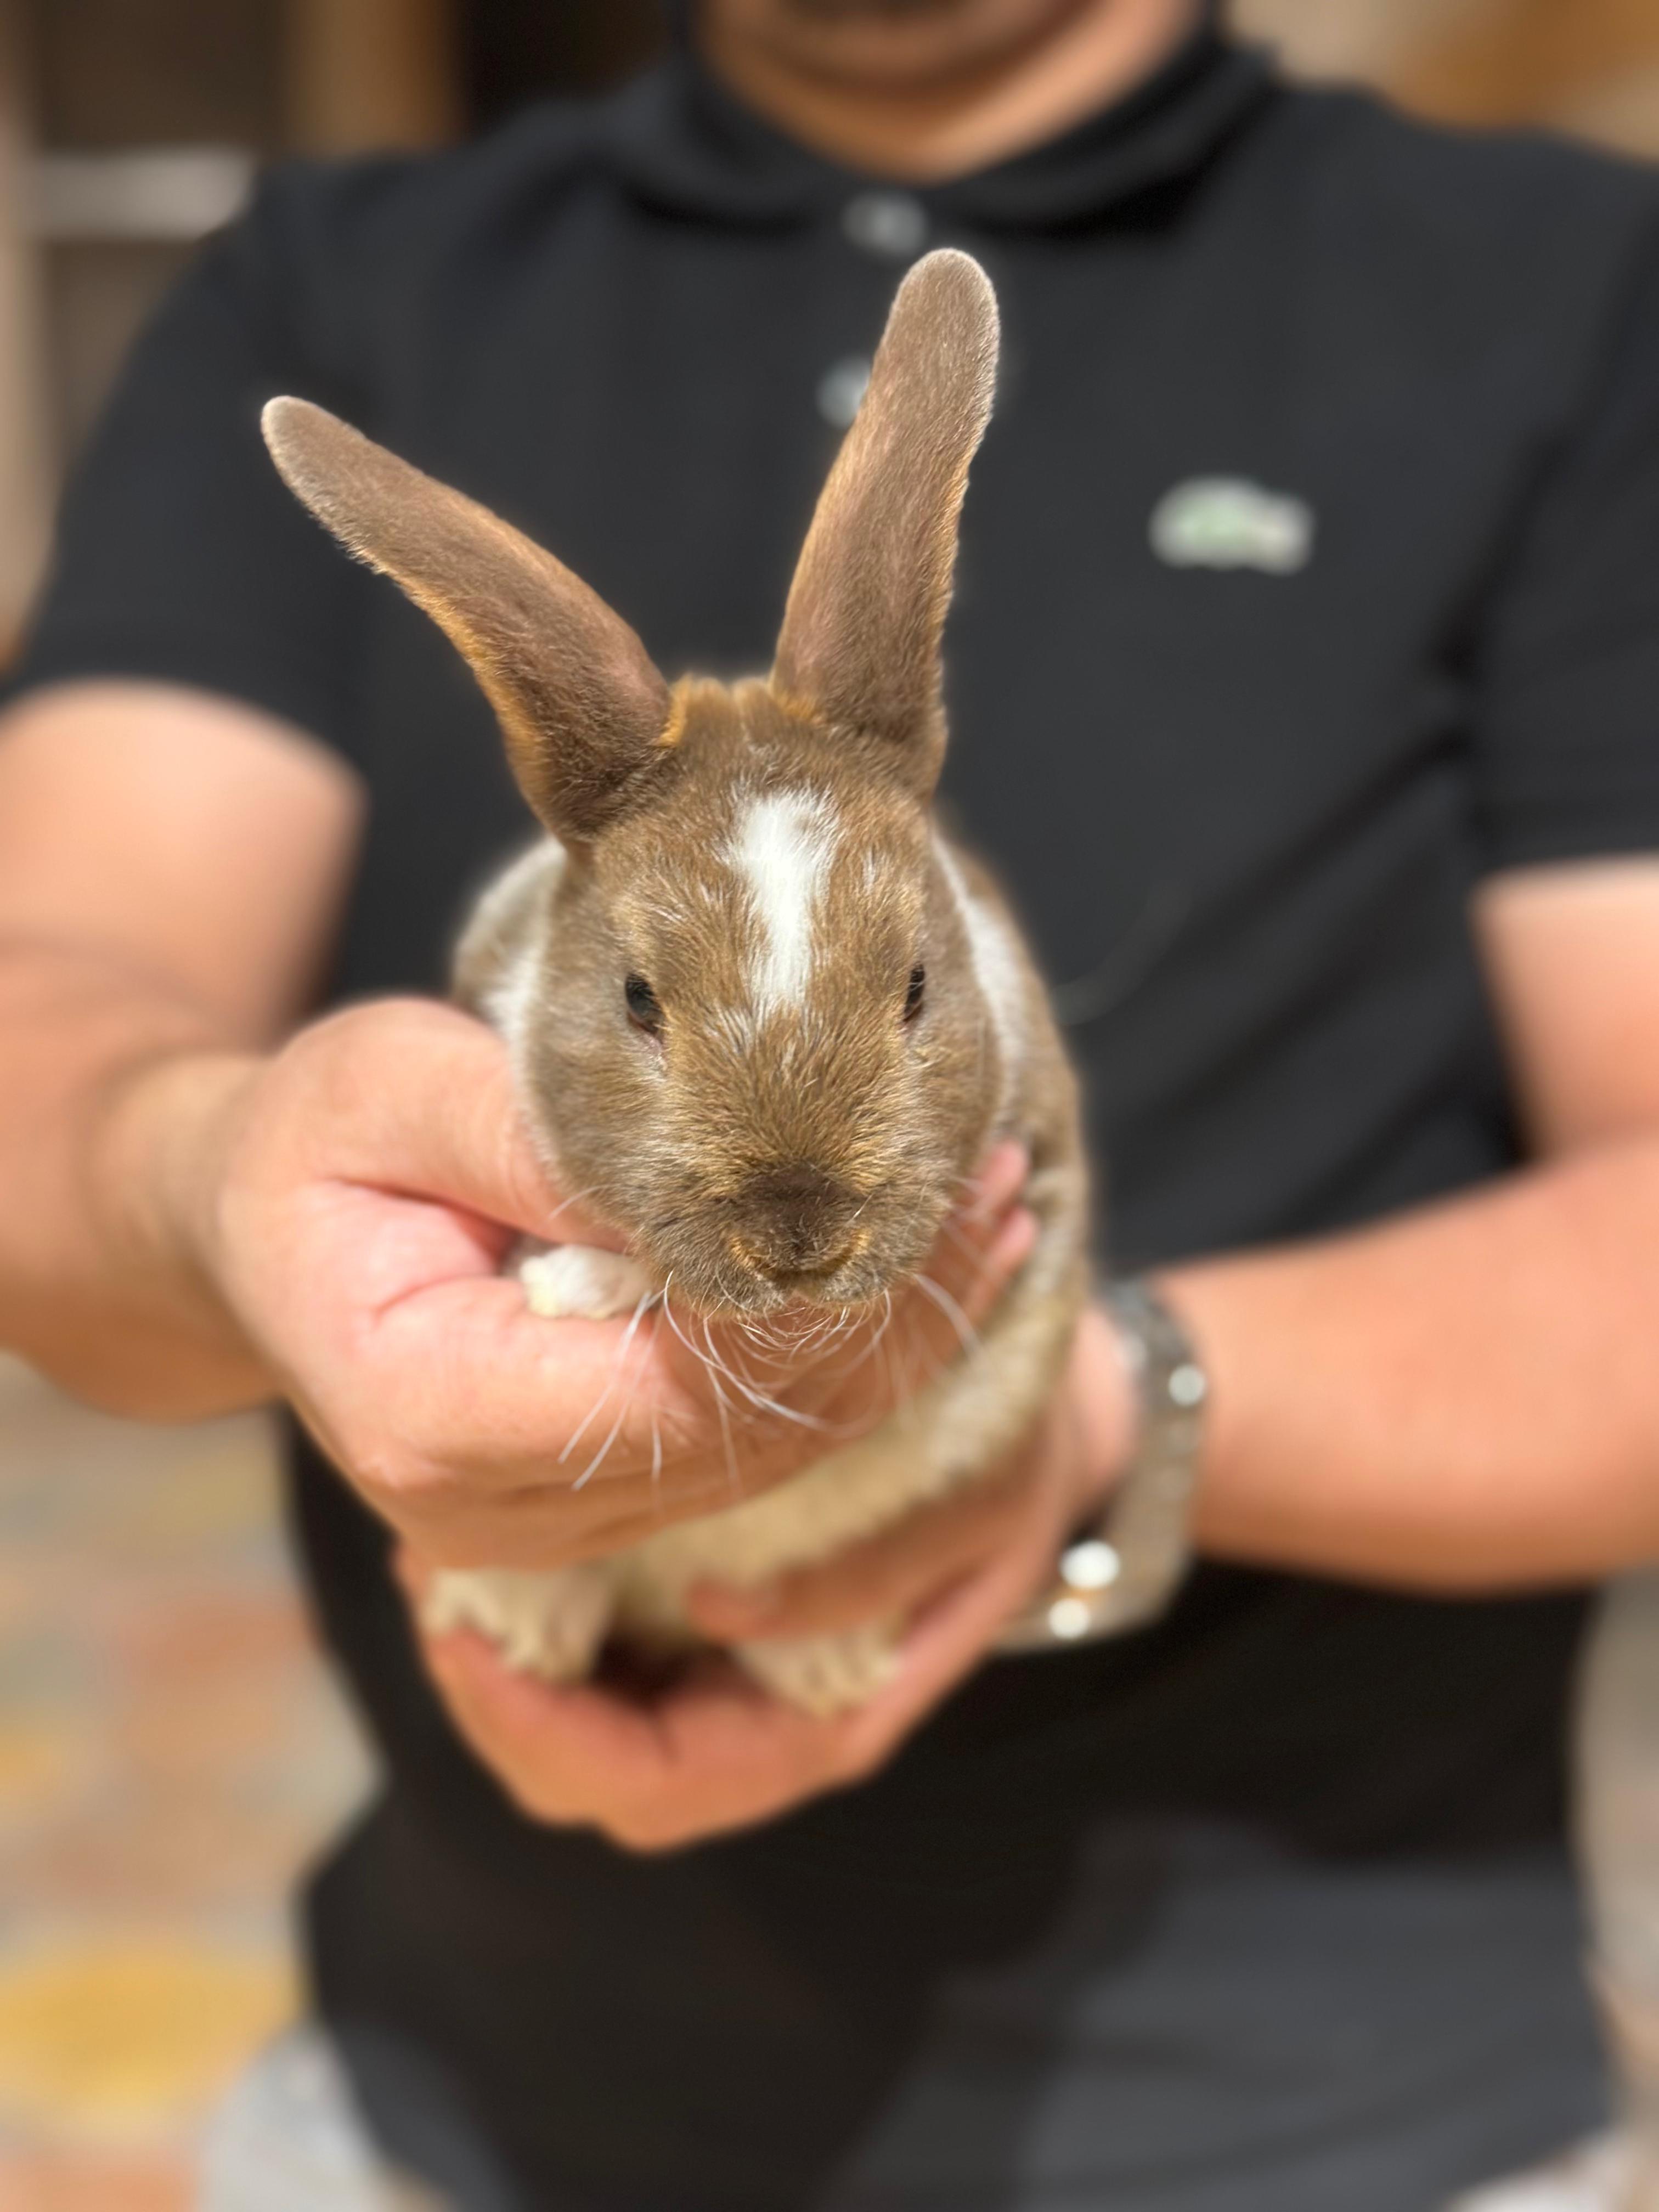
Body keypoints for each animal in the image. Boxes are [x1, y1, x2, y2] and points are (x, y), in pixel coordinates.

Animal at [261, 248, 1091, 1717]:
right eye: (638, 999)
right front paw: (574, 1289)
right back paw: (524, 1626)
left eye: (918, 987)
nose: (799, 1231)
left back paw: (822, 1665)